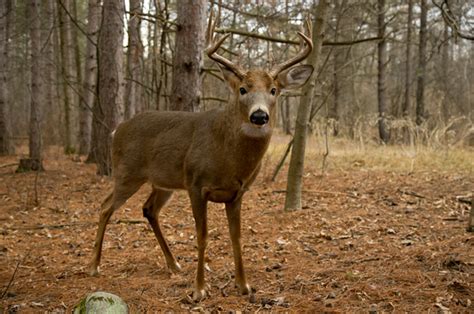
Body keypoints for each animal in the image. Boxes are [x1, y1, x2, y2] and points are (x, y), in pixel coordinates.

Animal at [89, 15, 314, 302]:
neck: (228, 158)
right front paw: (199, 290)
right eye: (242, 89)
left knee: (149, 209)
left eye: (274, 90)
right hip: (127, 173)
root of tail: (117, 129)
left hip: (163, 182)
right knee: (105, 206)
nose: (259, 115)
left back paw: (173, 264)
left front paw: (244, 286)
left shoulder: (238, 193)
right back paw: (94, 265)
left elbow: (236, 237)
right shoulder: (196, 184)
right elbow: (202, 236)